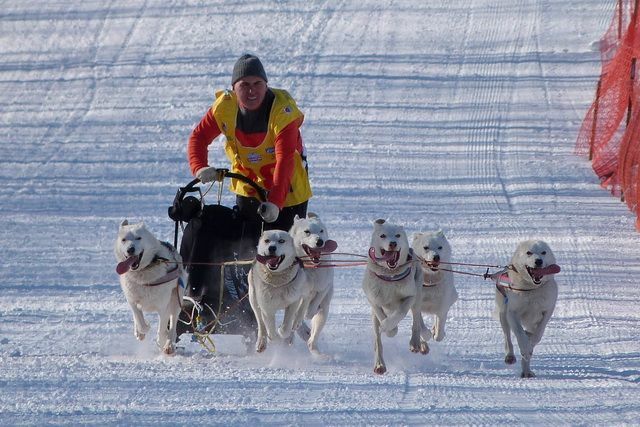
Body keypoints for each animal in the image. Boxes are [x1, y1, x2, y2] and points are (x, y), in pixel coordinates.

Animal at [114, 221, 185, 354]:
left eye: (138, 238)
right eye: (124, 239)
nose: (130, 249)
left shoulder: (164, 307)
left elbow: (162, 329)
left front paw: (162, 342)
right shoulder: (132, 300)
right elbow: (139, 319)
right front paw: (143, 329)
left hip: (176, 300)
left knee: (173, 326)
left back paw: (169, 345)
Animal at [290, 214, 340, 358]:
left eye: (321, 231)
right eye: (307, 231)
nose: (320, 241)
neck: (311, 267)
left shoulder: (325, 285)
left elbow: (316, 298)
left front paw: (309, 312)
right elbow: (300, 307)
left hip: (323, 313)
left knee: (312, 340)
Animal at [360, 221, 430, 374]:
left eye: (398, 235)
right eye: (382, 235)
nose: (393, 243)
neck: (390, 276)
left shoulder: (410, 296)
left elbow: (401, 312)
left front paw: (390, 326)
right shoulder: (373, 300)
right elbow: (381, 316)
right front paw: (389, 329)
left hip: (417, 294)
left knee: (416, 319)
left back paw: (417, 342)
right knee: (377, 340)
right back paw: (379, 364)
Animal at [496, 241, 560, 378]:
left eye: (543, 252)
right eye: (528, 252)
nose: (538, 261)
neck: (532, 289)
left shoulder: (547, 311)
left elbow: (538, 334)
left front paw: (529, 347)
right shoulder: (512, 313)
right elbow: (519, 333)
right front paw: (525, 349)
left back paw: (526, 371)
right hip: (503, 314)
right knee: (507, 336)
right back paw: (510, 356)